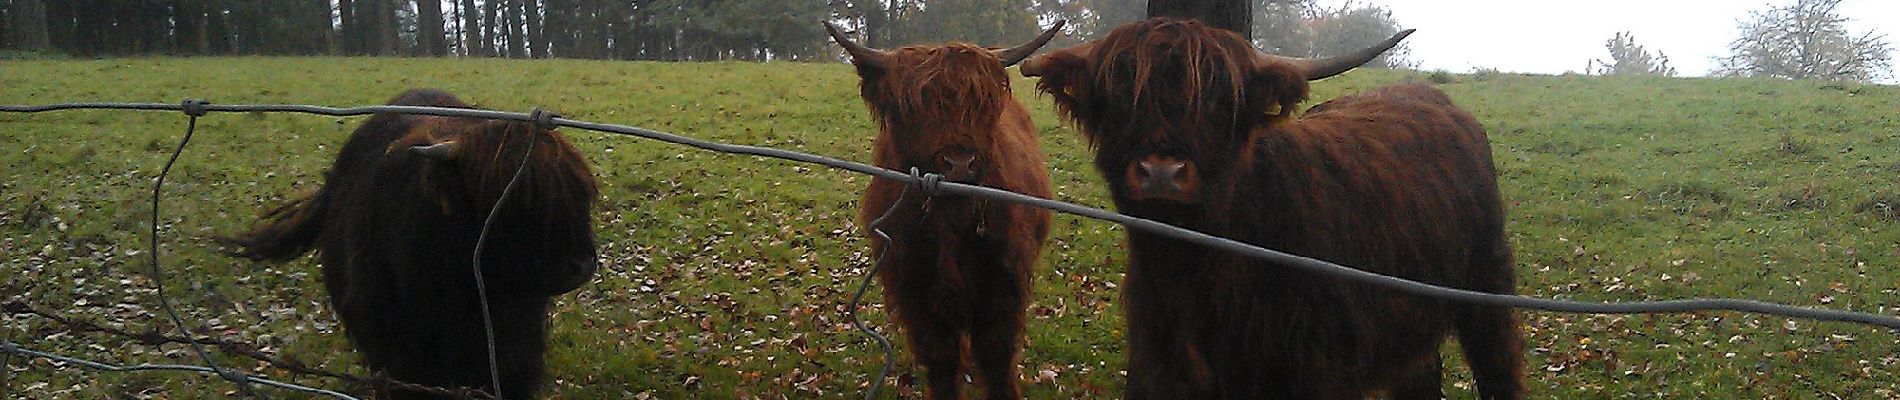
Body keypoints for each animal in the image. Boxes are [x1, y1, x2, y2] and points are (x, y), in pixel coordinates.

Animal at [832, 20, 1071, 398]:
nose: (959, 163)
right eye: (910, 107)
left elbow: (996, 355)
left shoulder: (1003, 284)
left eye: (981, 104)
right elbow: (941, 359)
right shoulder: (916, 290)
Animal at [1026, 19, 1527, 400]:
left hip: (1488, 286)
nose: (1161, 171)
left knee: (1499, 367)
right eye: (1117, 96)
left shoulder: (1322, 371)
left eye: (1218, 100)